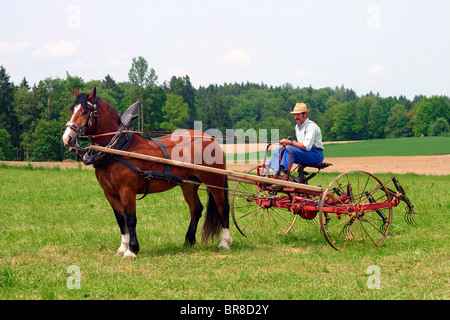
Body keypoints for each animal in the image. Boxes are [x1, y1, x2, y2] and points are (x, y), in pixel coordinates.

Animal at [62, 87, 232, 258]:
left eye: (85, 111)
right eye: (72, 110)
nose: (67, 138)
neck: (119, 148)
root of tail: (210, 138)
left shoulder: (127, 190)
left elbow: (130, 219)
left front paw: (132, 250)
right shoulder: (110, 193)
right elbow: (120, 220)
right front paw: (123, 247)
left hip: (214, 180)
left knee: (223, 207)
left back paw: (224, 242)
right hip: (189, 183)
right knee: (196, 209)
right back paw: (188, 241)